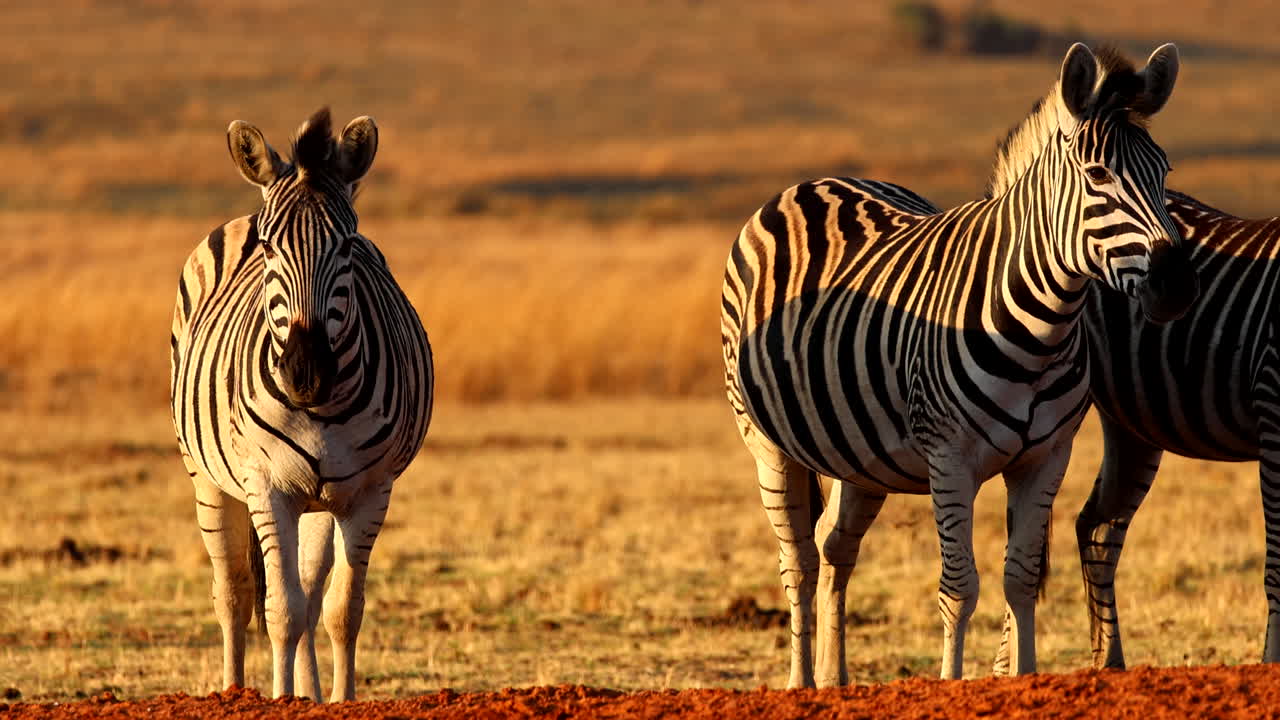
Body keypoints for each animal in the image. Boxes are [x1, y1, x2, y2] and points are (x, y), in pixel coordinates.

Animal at [170, 108, 433, 701]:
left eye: (348, 246)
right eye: (269, 249)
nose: (306, 374)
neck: (319, 410)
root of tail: (245, 211)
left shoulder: (370, 491)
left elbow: (341, 609)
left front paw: (338, 700)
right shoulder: (267, 486)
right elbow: (280, 611)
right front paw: (280, 699)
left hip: (319, 500)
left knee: (311, 595)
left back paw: (310, 692)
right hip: (207, 477)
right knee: (234, 593)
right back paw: (234, 692)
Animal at [720, 43, 1193, 688]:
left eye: (1164, 172)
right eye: (1098, 176)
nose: (1176, 285)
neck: (1041, 329)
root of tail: (808, 185)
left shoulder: (1048, 457)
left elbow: (1020, 578)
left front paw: (1022, 678)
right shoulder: (949, 459)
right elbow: (959, 586)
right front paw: (950, 683)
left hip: (861, 455)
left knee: (833, 546)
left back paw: (836, 680)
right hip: (766, 442)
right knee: (797, 559)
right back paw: (802, 684)